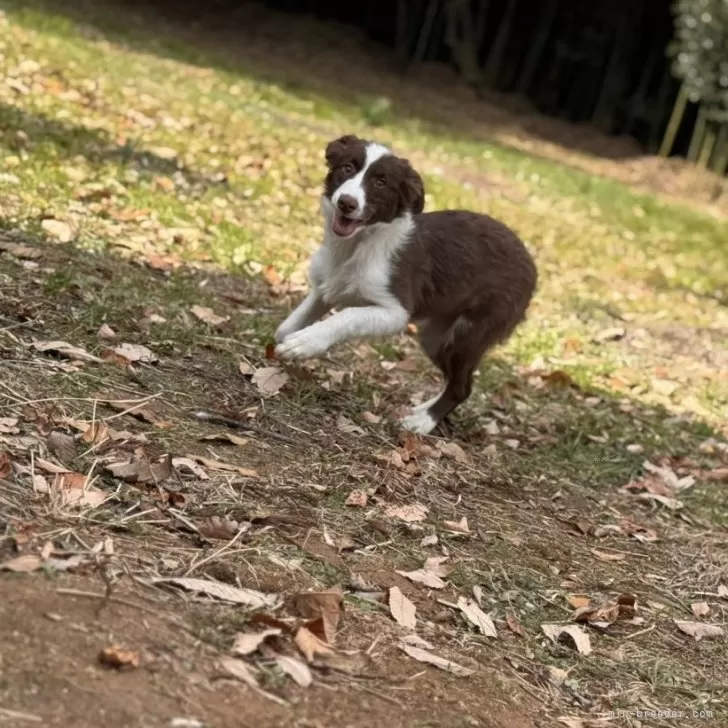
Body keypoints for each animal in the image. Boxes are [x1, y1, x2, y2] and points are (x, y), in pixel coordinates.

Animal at [276, 134, 536, 436]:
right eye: (347, 168)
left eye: (381, 182)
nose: (346, 204)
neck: (357, 245)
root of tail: (531, 262)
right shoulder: (325, 289)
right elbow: (286, 327)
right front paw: (286, 345)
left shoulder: (395, 310)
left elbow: (346, 316)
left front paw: (306, 343)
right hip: (436, 337)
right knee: (457, 380)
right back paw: (423, 409)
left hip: (470, 332)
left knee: (462, 387)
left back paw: (422, 422)